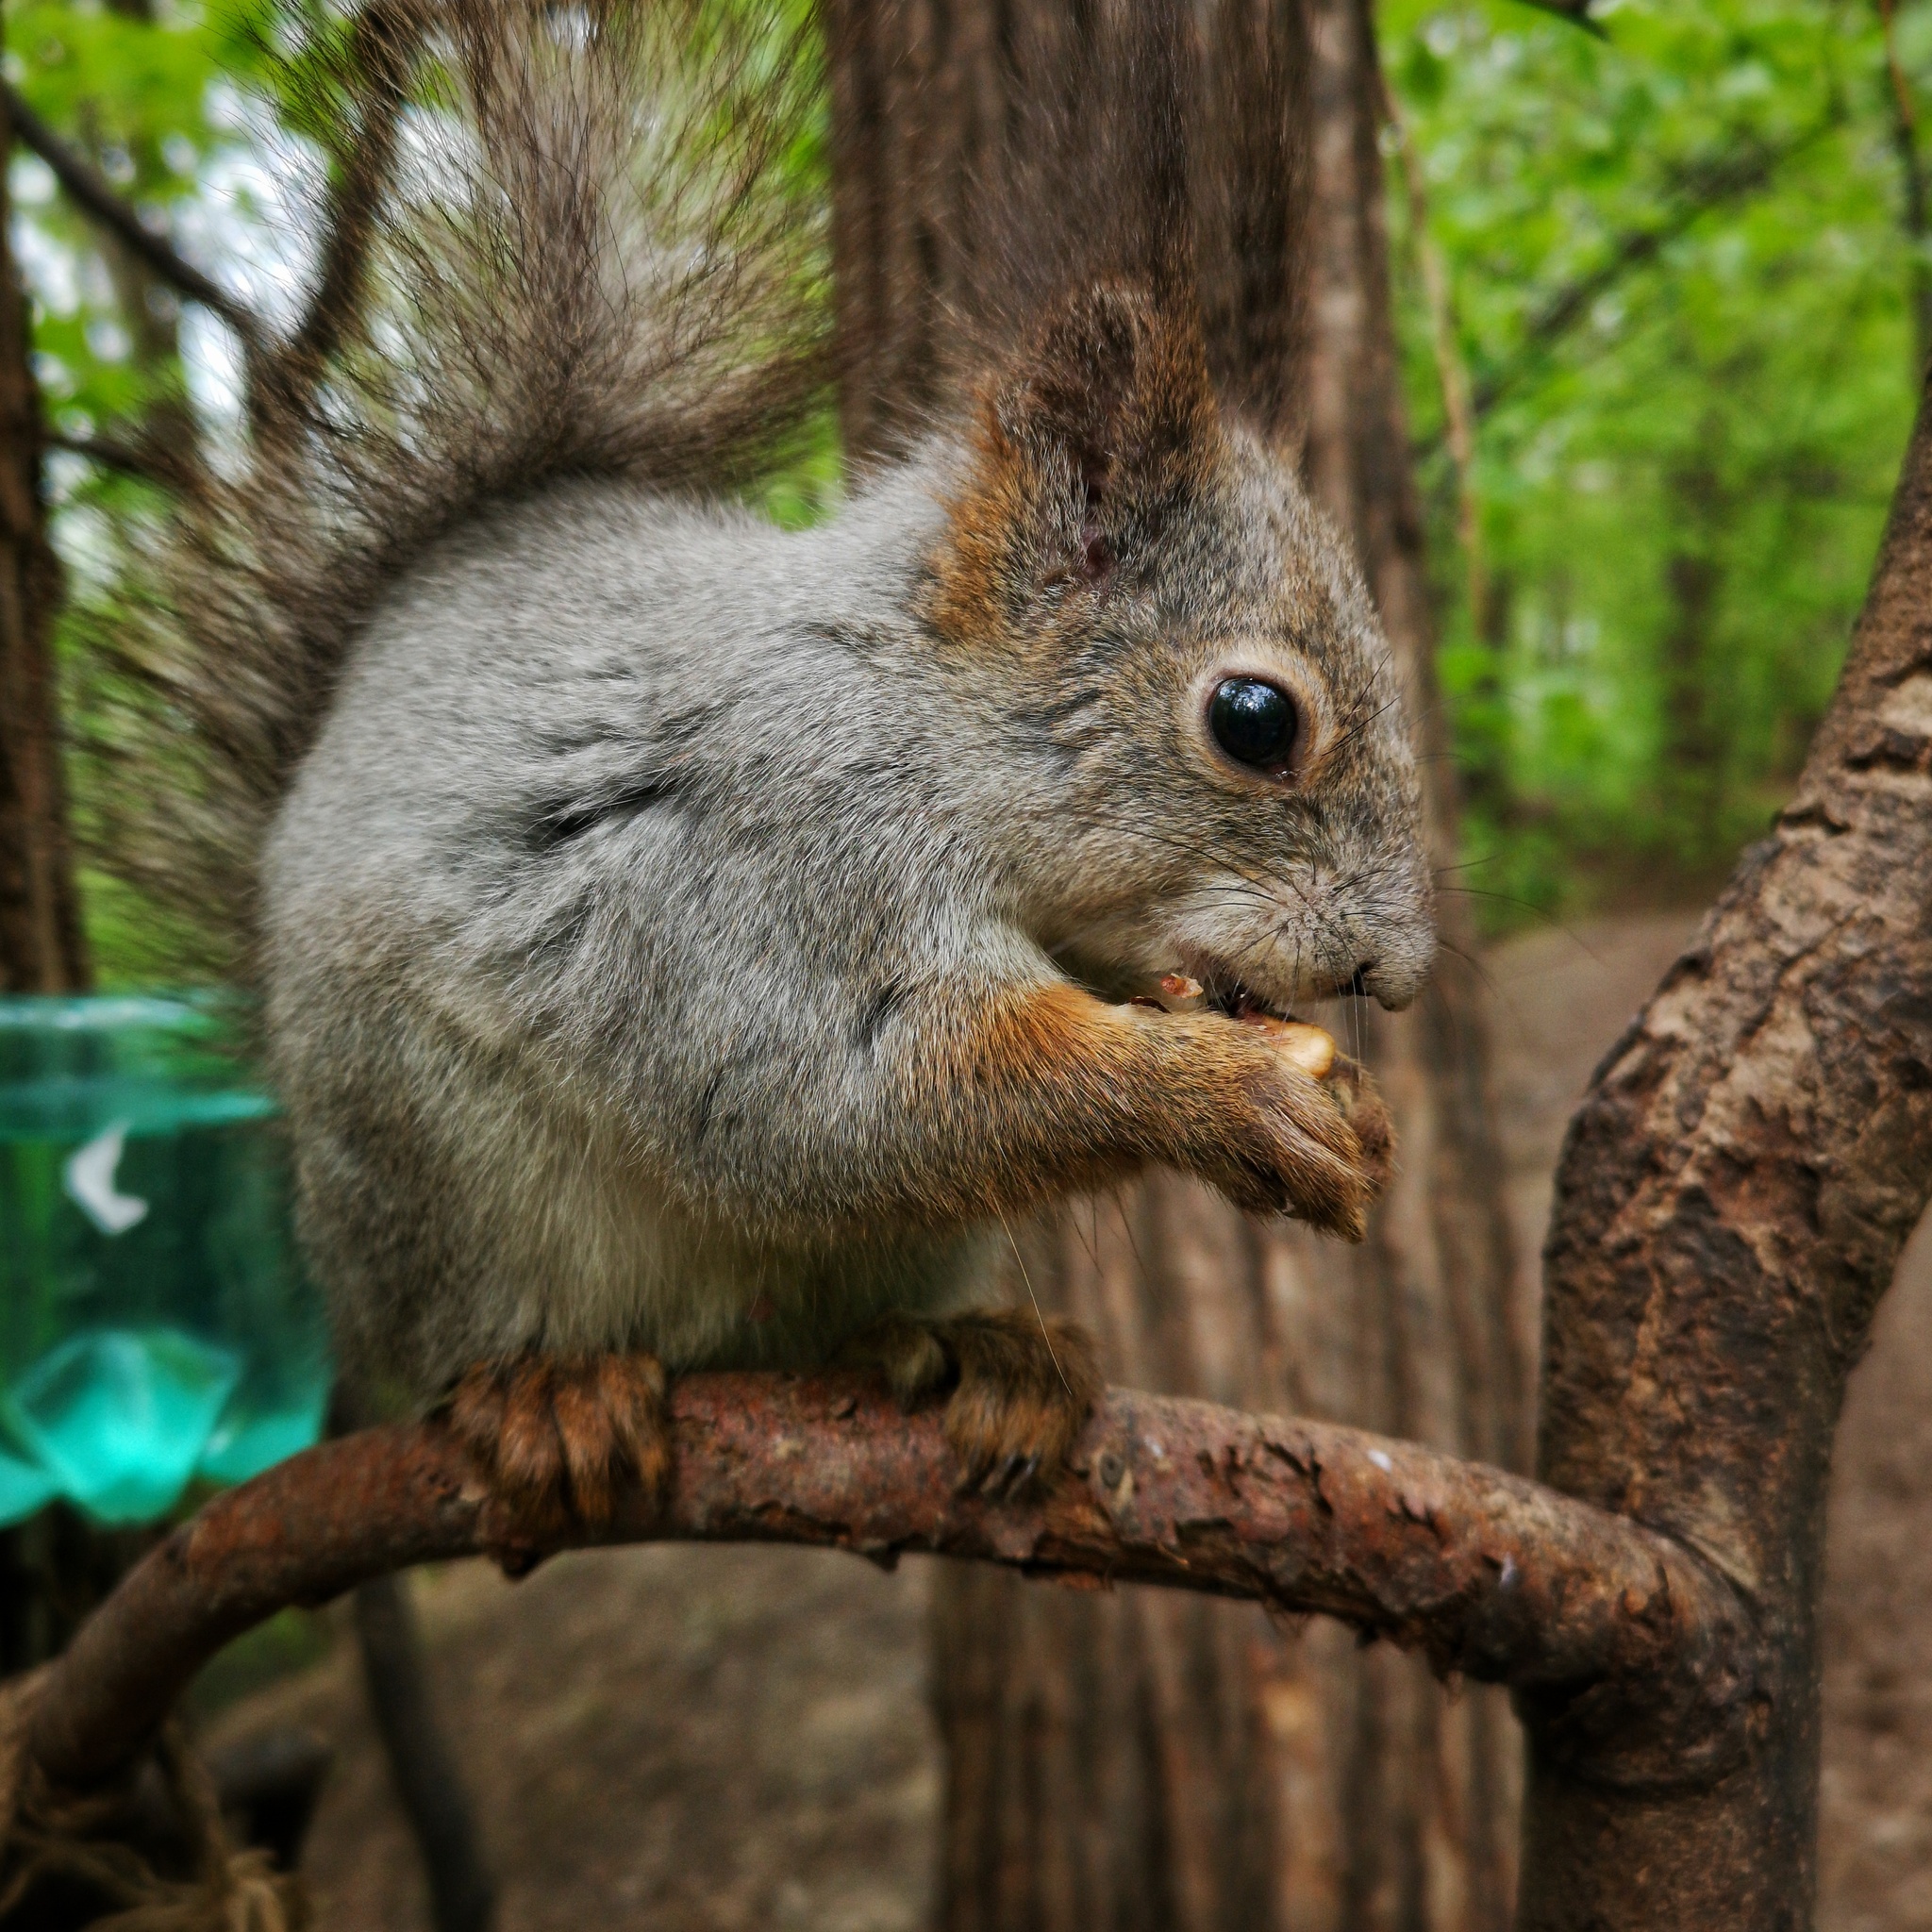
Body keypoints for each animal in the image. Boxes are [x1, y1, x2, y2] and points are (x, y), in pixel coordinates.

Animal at [106, 0, 1437, 1530]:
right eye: (1255, 720)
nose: (1395, 975)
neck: (923, 714)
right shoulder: (766, 856)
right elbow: (834, 1099)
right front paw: (1225, 1096)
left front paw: (1348, 1109)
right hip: (434, 1180)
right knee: (474, 1335)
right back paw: (542, 1387)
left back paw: (978, 1350)